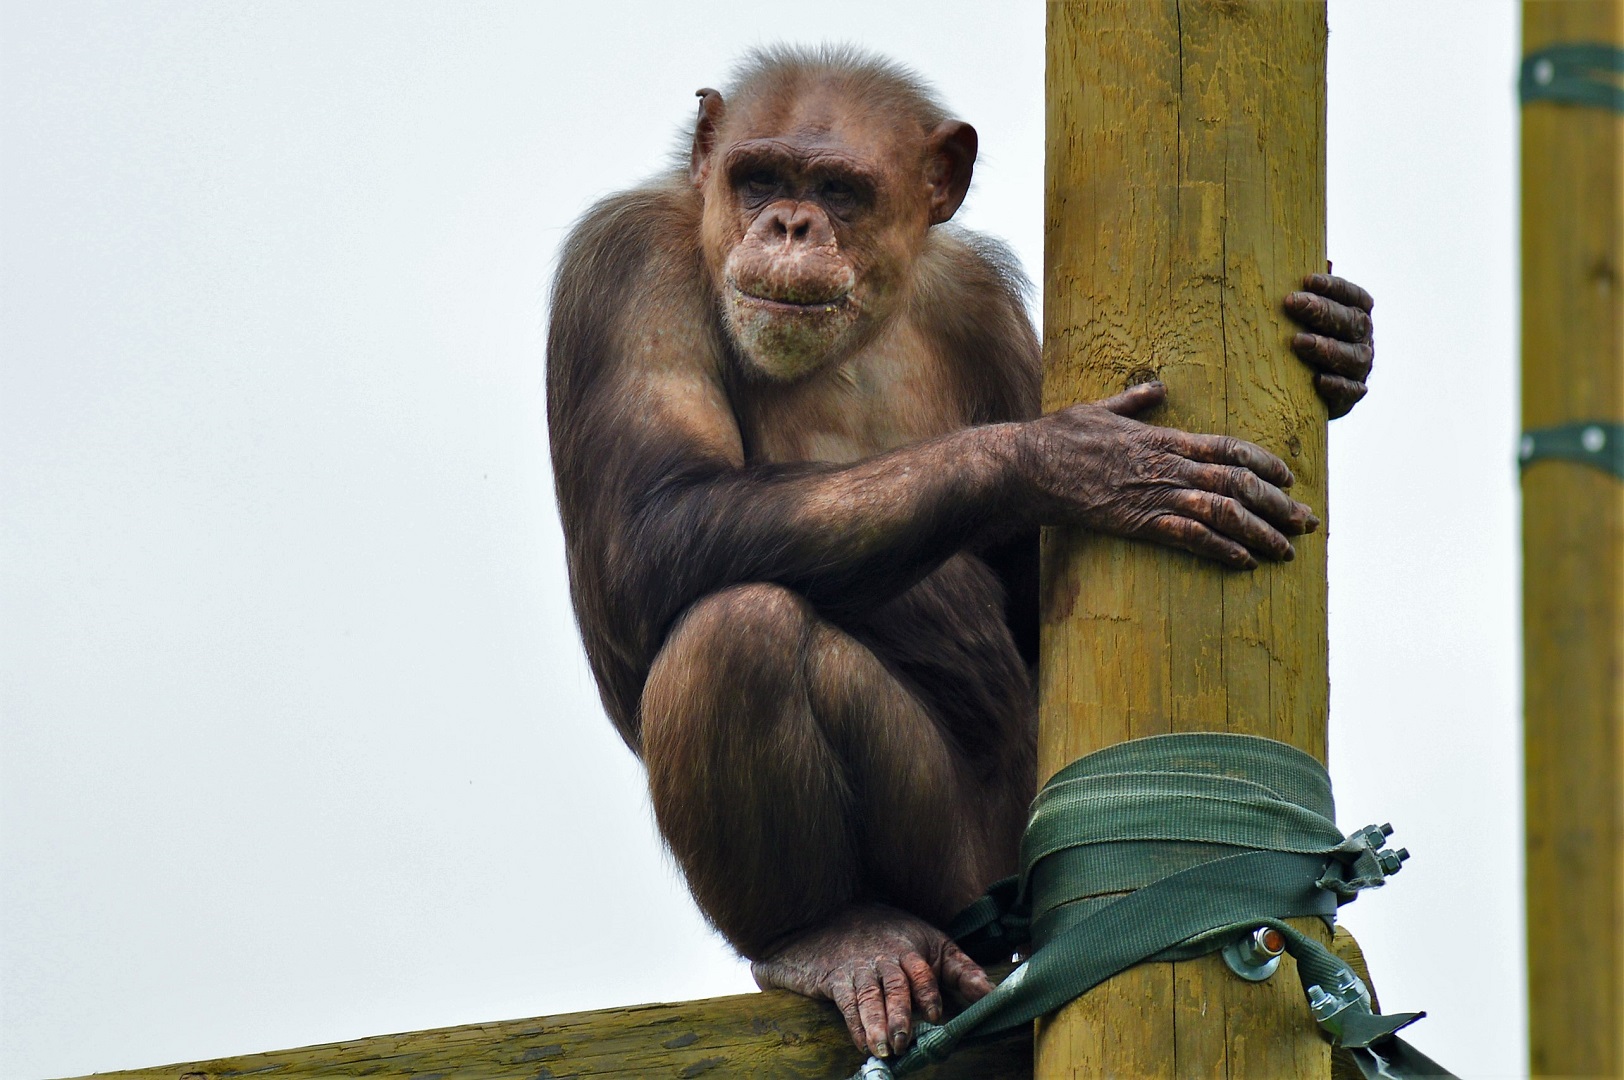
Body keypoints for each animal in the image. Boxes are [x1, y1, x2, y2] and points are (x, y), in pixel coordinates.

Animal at [546, 46, 1376, 1060]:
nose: (789, 224)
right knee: (735, 632)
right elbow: (652, 519)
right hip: (952, 876)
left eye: (839, 190)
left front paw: (1342, 342)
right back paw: (831, 935)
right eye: (759, 179)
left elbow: (1028, 596)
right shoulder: (625, 265)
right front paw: (1069, 459)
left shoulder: (980, 299)